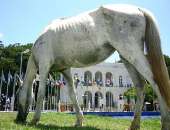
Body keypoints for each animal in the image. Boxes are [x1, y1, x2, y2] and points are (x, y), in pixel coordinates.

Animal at [15, 4, 170, 129]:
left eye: (17, 96)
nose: (18, 120)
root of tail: (138, 9)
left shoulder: (44, 65)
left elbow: (40, 93)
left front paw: (35, 120)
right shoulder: (65, 70)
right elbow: (73, 95)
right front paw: (79, 121)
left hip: (131, 52)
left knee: (154, 81)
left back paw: (165, 122)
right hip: (126, 57)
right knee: (140, 85)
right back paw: (134, 125)